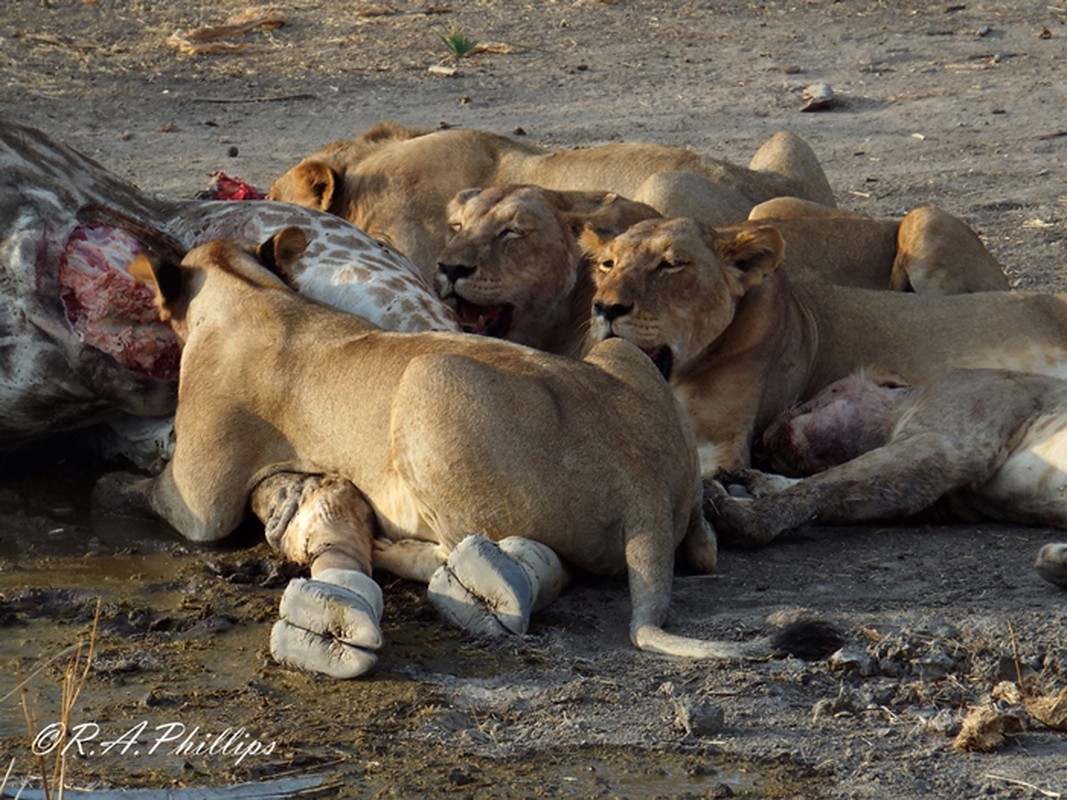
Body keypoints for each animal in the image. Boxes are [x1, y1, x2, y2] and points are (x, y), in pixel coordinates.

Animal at [126, 228, 768, 678]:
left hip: (428, 380)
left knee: (462, 550)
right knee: (702, 545)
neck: (249, 288)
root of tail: (644, 492)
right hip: (619, 353)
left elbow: (158, 494)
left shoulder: (201, 500)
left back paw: (388, 546)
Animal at [699, 366, 1067, 593]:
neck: (897, 415)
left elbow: (823, 483)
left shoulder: (945, 439)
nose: (760, 445)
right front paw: (751, 481)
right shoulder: (940, 498)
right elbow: (832, 489)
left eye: (819, 394)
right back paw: (1055, 560)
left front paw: (734, 511)